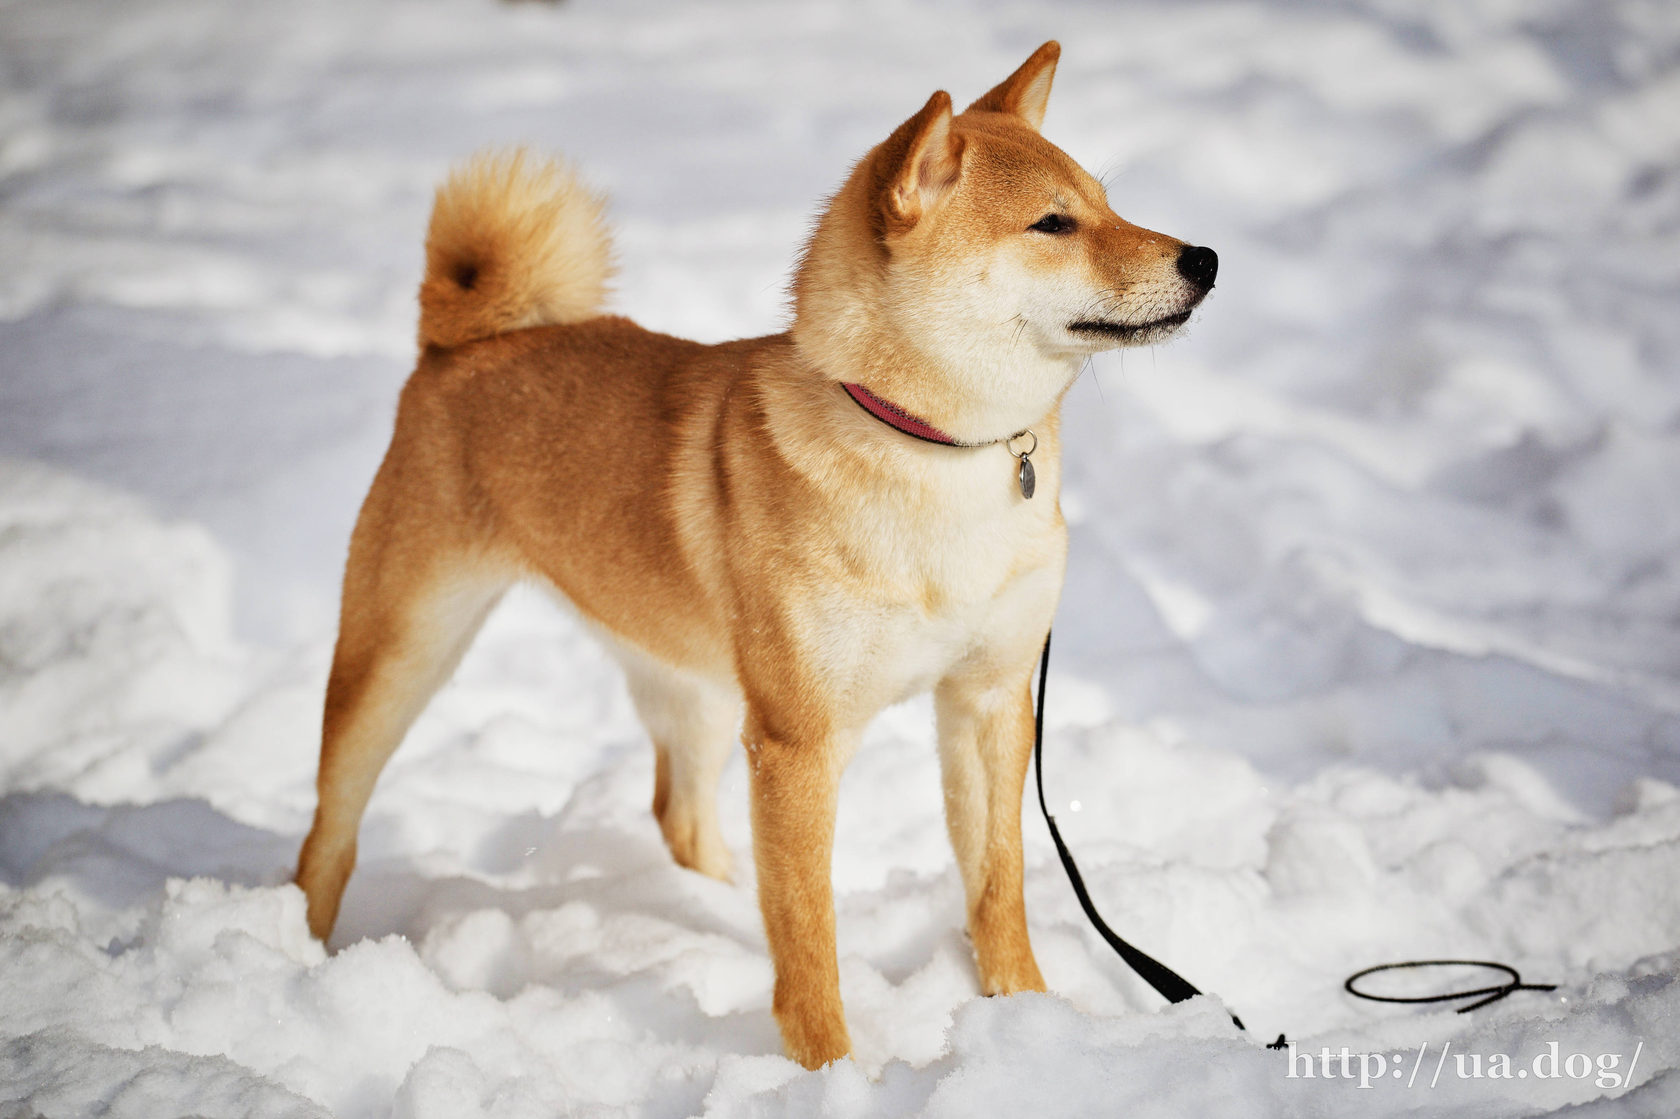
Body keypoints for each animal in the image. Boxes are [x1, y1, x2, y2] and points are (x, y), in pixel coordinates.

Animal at [295, 41, 1216, 1061]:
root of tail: (461, 343)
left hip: (689, 679)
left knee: (679, 812)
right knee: (329, 832)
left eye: (1106, 201)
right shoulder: (797, 743)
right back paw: (295, 948)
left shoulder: (989, 699)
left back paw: (710, 905)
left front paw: (1027, 1018)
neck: (936, 451)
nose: (1206, 258)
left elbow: (997, 883)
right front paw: (830, 1069)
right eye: (1053, 223)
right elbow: (809, 934)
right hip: (401, 653)